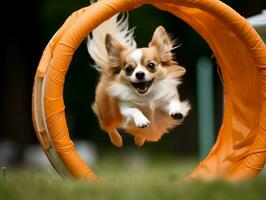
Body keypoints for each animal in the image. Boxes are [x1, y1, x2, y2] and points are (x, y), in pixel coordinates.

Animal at [88, 13, 191, 147]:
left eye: (151, 65)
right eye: (129, 69)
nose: (140, 74)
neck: (147, 96)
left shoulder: (163, 106)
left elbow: (173, 102)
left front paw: (177, 111)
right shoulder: (124, 109)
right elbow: (134, 110)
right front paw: (141, 120)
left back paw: (139, 140)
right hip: (108, 115)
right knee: (109, 128)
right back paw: (117, 141)